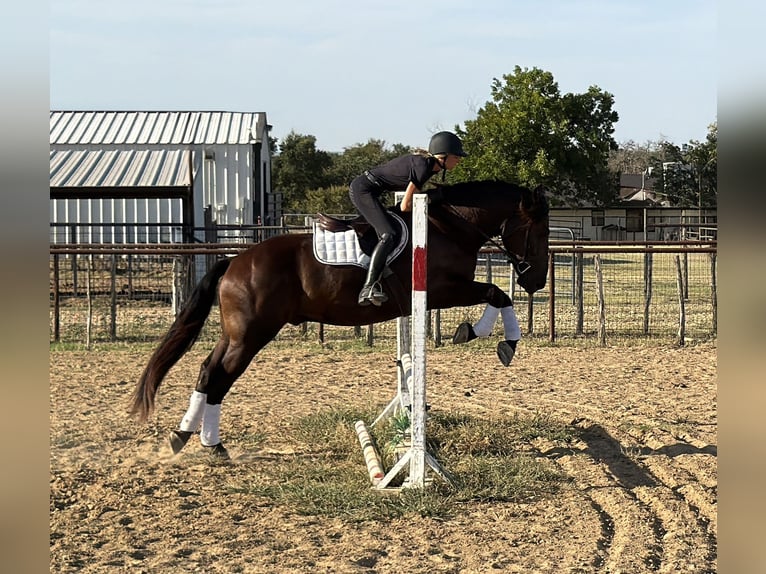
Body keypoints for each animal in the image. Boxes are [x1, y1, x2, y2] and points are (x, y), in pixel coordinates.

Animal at [129, 179, 550, 457]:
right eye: (538, 230)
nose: (538, 281)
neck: (449, 226)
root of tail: (235, 261)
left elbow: (496, 294)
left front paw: (483, 335)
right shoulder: (444, 290)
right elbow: (496, 293)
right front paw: (496, 340)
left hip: (234, 334)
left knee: (206, 370)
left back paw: (185, 437)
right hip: (251, 336)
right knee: (219, 377)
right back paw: (212, 445)